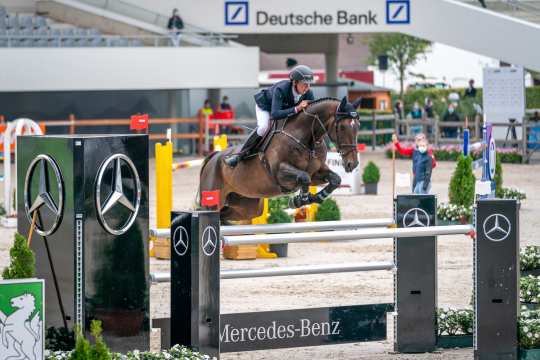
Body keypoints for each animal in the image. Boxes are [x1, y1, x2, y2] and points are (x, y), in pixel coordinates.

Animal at [200, 95, 360, 221]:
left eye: (358, 125)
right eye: (342, 127)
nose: (352, 163)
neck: (306, 139)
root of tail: (213, 157)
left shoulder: (316, 172)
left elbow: (335, 179)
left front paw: (312, 198)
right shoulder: (280, 173)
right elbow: (304, 177)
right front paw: (299, 200)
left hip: (246, 207)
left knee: (224, 217)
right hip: (213, 201)